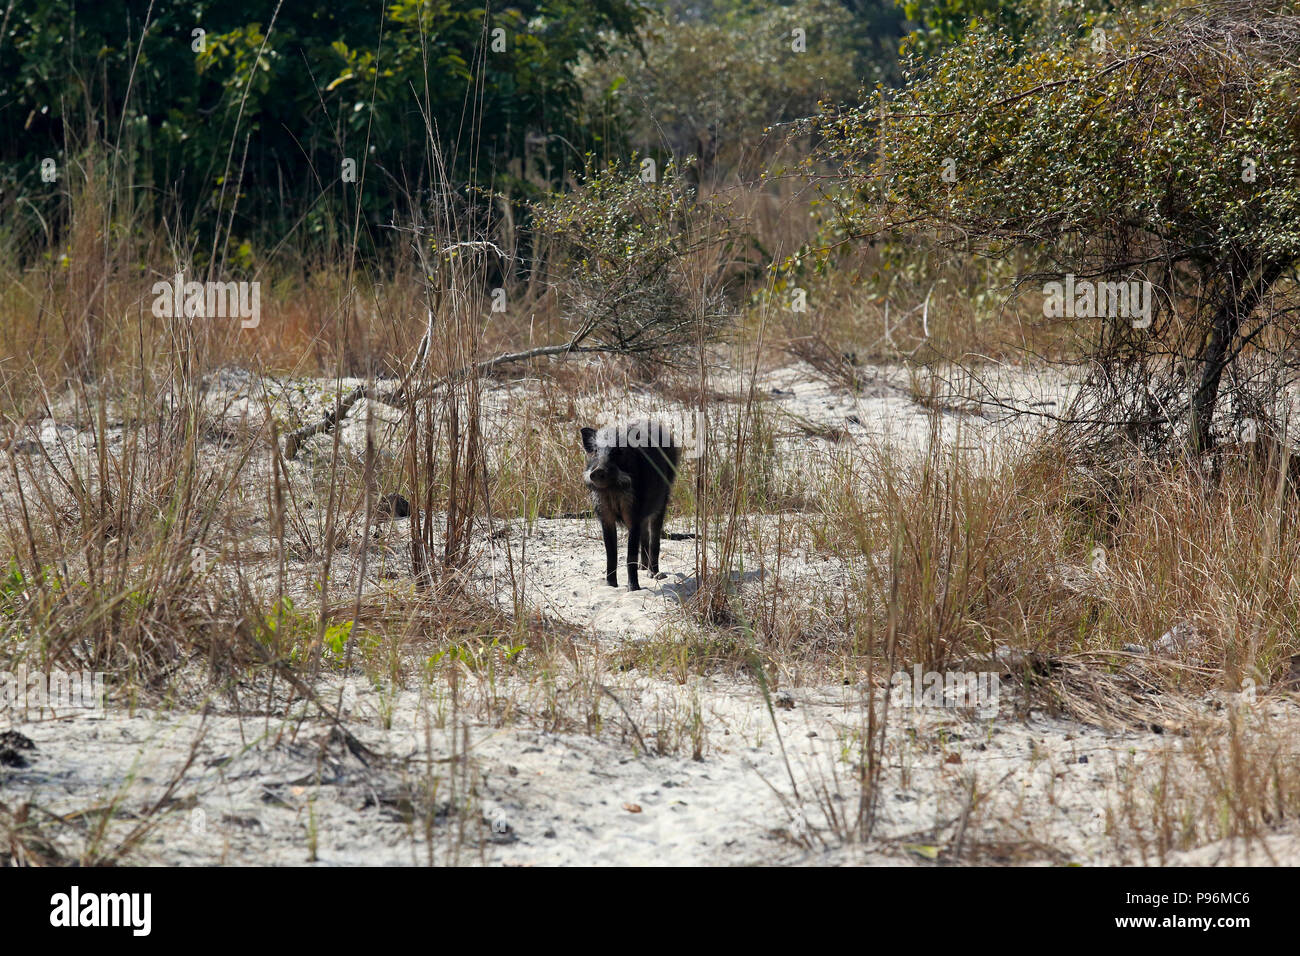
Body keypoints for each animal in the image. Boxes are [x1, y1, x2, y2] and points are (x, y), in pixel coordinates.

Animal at [580, 419, 681, 590]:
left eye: (618, 451)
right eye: (595, 451)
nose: (598, 470)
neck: (612, 490)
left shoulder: (634, 515)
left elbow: (630, 554)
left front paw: (633, 589)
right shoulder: (605, 516)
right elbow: (611, 553)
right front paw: (610, 585)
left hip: (662, 500)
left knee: (654, 538)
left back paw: (652, 574)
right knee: (645, 536)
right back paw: (643, 568)